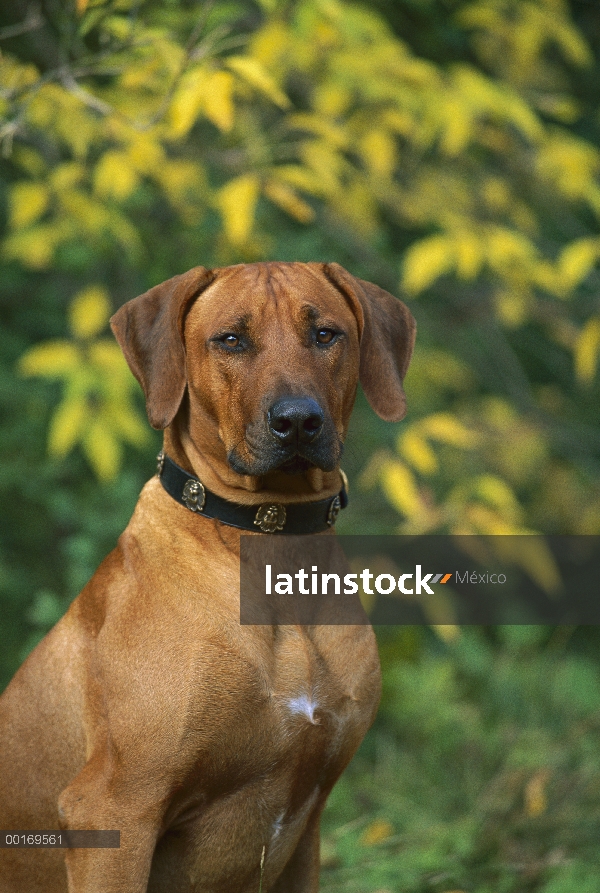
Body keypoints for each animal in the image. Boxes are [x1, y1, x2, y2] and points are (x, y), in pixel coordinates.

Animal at [0, 262, 414, 888]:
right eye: (231, 340)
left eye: (325, 334)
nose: (298, 420)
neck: (271, 544)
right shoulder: (112, 809)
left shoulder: (307, 829)